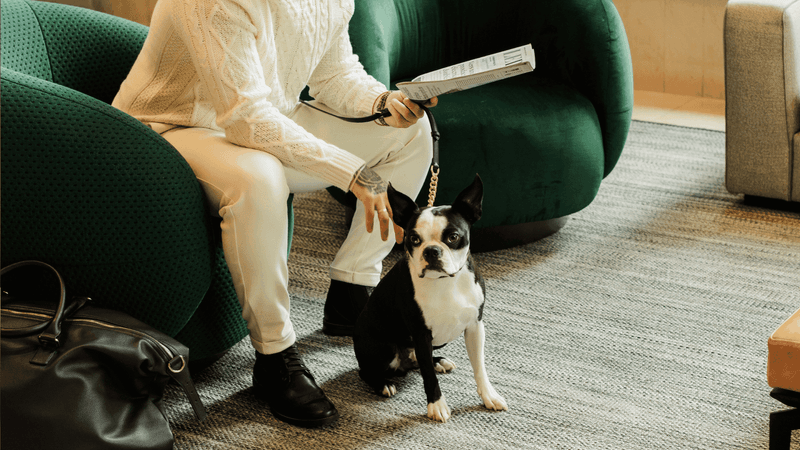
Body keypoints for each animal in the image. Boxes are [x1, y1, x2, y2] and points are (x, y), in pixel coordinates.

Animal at [354, 173, 510, 422]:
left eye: (453, 237)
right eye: (414, 239)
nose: (431, 251)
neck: (445, 281)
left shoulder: (475, 326)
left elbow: (479, 367)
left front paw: (489, 396)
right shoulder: (421, 333)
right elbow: (428, 376)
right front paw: (436, 405)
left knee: (417, 361)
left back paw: (439, 362)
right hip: (384, 349)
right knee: (366, 370)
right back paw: (383, 384)